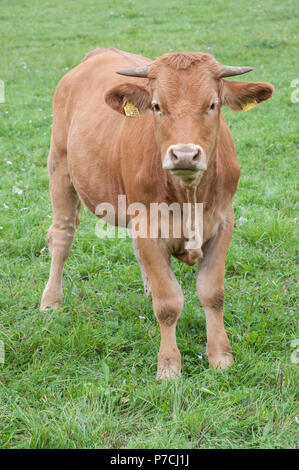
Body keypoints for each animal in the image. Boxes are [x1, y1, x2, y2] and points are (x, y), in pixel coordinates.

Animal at [40, 46, 274, 378]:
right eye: (157, 106)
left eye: (212, 104)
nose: (185, 154)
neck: (188, 195)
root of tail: (99, 52)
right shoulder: (149, 228)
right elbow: (168, 303)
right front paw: (169, 366)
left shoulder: (222, 224)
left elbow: (212, 294)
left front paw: (220, 357)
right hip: (59, 167)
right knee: (61, 237)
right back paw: (51, 301)